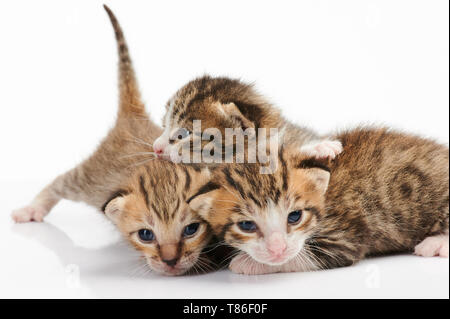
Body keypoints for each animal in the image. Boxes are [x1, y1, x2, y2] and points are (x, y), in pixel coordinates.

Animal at [188, 127, 448, 276]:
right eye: (246, 225)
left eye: (294, 216)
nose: (277, 249)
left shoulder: (345, 234)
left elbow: (300, 257)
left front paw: (248, 263)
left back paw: (435, 243)